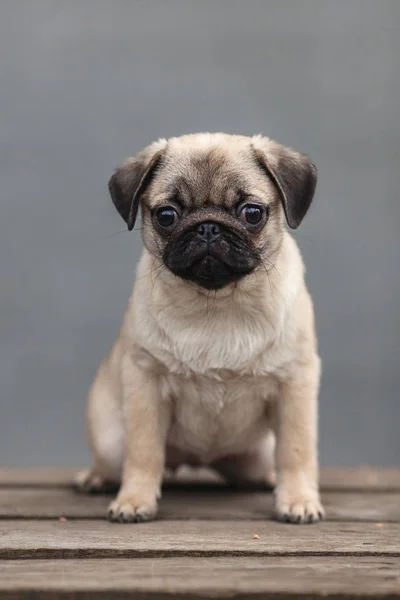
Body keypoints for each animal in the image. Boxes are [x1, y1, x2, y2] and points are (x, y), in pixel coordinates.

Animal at [75, 132, 324, 524]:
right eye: (166, 216)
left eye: (252, 213)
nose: (208, 226)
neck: (216, 302)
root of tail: (196, 459)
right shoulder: (146, 384)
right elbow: (144, 452)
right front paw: (134, 500)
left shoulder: (294, 384)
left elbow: (296, 450)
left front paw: (298, 500)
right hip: (111, 441)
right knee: (118, 460)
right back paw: (95, 478)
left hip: (258, 453)